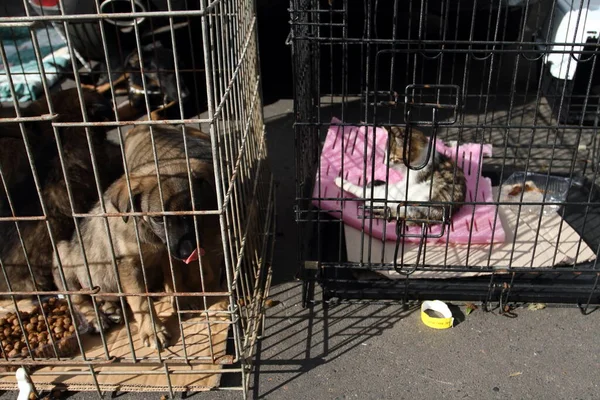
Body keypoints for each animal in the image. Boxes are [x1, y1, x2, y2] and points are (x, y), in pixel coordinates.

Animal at [54, 123, 225, 348]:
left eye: (195, 211)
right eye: (159, 219)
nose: (189, 252)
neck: (147, 232)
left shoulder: (166, 253)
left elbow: (173, 277)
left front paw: (181, 299)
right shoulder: (128, 264)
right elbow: (140, 300)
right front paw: (153, 331)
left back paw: (111, 309)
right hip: (62, 257)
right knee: (79, 300)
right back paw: (97, 318)